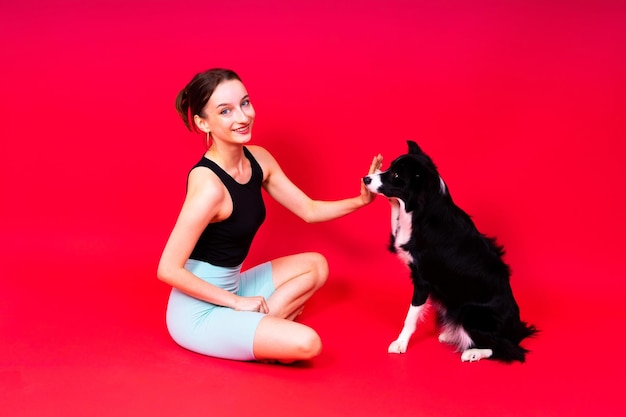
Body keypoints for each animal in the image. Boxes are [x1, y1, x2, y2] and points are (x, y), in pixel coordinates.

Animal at [364, 141, 532, 360]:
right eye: (390, 168)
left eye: (396, 175)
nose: (366, 178)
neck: (422, 209)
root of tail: (517, 331)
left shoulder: (423, 281)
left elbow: (411, 315)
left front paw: (400, 343)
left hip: (470, 311)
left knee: (506, 349)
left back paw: (472, 353)